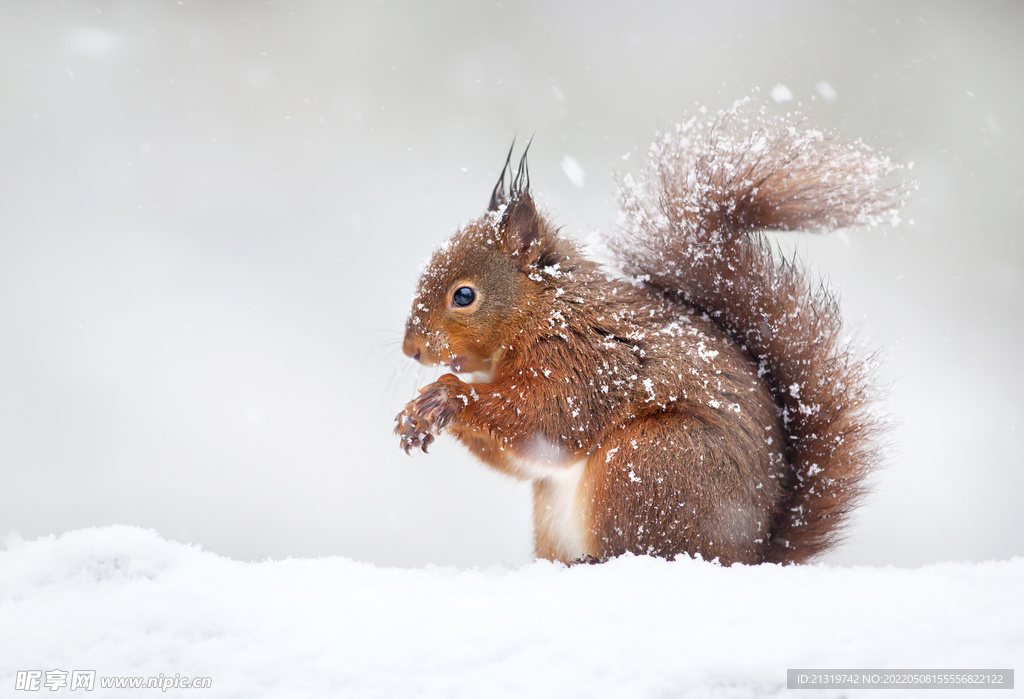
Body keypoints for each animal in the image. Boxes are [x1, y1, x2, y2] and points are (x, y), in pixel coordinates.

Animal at [395, 109, 901, 569]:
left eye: (464, 295)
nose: (410, 349)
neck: (544, 310)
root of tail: (749, 555)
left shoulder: (586, 360)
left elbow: (546, 420)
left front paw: (449, 396)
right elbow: (524, 458)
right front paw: (416, 415)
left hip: (647, 464)